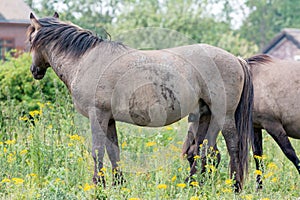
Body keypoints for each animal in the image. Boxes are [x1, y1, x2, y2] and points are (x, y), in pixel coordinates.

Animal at [27, 12, 253, 192]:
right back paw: (192, 185)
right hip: (205, 115)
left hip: (224, 116)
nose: (34, 71)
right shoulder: (109, 119)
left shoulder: (97, 115)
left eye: (30, 39)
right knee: (204, 152)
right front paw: (118, 184)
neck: (86, 61)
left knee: (232, 148)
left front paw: (98, 184)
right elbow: (113, 152)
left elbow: (97, 151)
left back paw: (235, 187)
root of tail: (236, 59)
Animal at [183, 54, 300, 189]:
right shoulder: (256, 127)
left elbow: (290, 154)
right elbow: (258, 157)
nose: (191, 185)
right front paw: (259, 189)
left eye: (191, 158)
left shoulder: (273, 125)